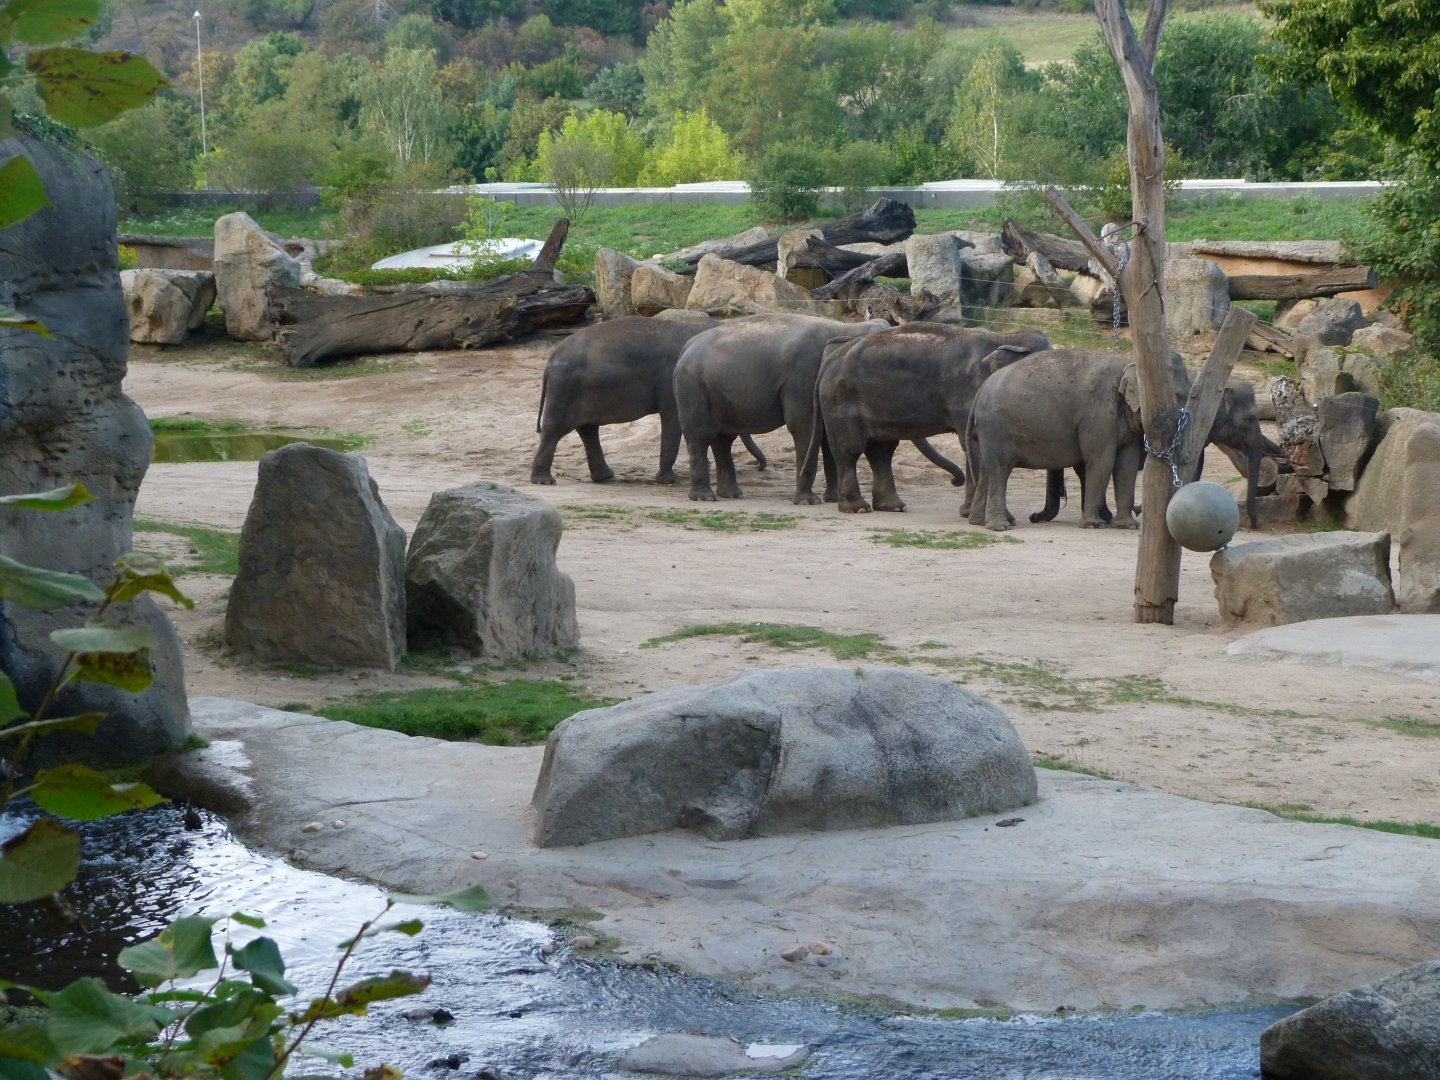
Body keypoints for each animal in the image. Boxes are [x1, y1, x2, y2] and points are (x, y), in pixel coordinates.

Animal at [530, 315, 766, 486]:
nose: (760, 467)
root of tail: (550, 361)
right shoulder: (671, 382)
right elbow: (673, 421)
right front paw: (670, 481)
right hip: (564, 388)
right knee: (555, 430)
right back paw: (544, 481)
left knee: (588, 429)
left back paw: (606, 477)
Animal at [806, 324, 1053, 514]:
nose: (954, 481)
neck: (1005, 336)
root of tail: (831, 358)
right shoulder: (966, 394)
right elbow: (972, 444)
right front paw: (969, 513)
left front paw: (968, 512)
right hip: (840, 398)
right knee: (850, 449)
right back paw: (858, 508)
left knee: (882, 450)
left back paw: (893, 507)